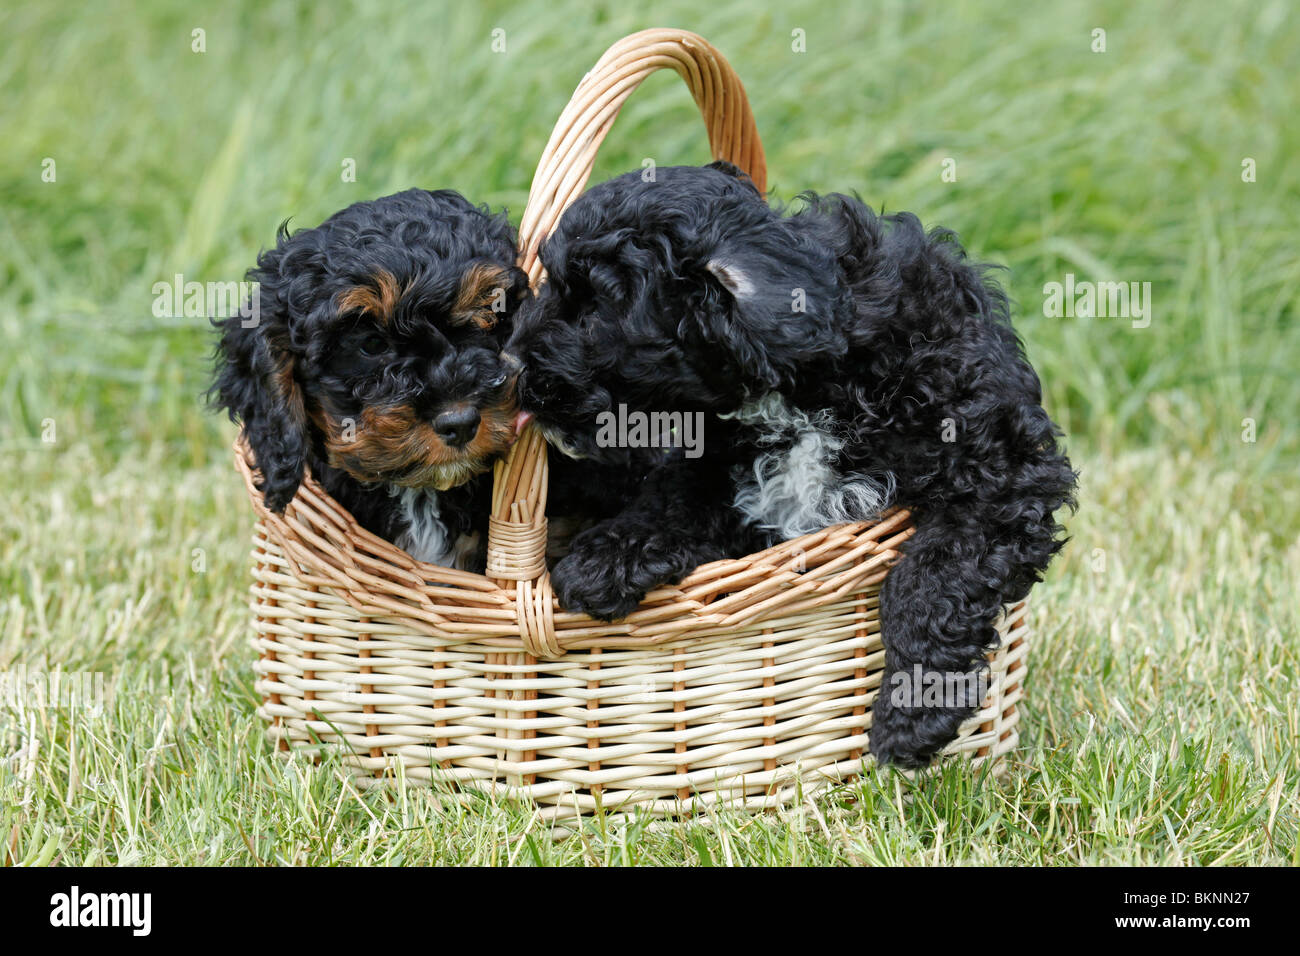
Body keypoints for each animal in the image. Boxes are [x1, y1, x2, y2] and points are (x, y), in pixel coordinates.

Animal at [505, 163, 1077, 767]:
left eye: (593, 309)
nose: (513, 367)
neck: (807, 384)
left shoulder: (1001, 479)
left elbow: (928, 579)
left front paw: (912, 714)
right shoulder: (720, 470)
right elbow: (674, 497)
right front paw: (608, 556)